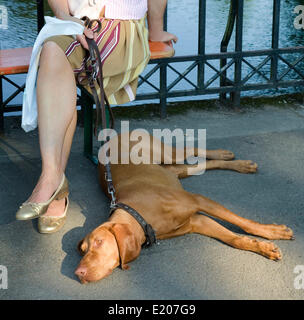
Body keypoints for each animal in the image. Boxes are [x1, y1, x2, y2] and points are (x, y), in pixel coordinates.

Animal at [75, 132, 294, 282]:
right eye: (83, 250)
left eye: (99, 242)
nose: (79, 272)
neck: (139, 215)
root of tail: (112, 138)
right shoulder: (197, 222)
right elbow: (235, 240)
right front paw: (264, 248)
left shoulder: (198, 201)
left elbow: (244, 223)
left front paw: (273, 232)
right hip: (171, 169)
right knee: (196, 166)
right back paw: (238, 164)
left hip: (164, 153)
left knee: (191, 150)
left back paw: (224, 154)